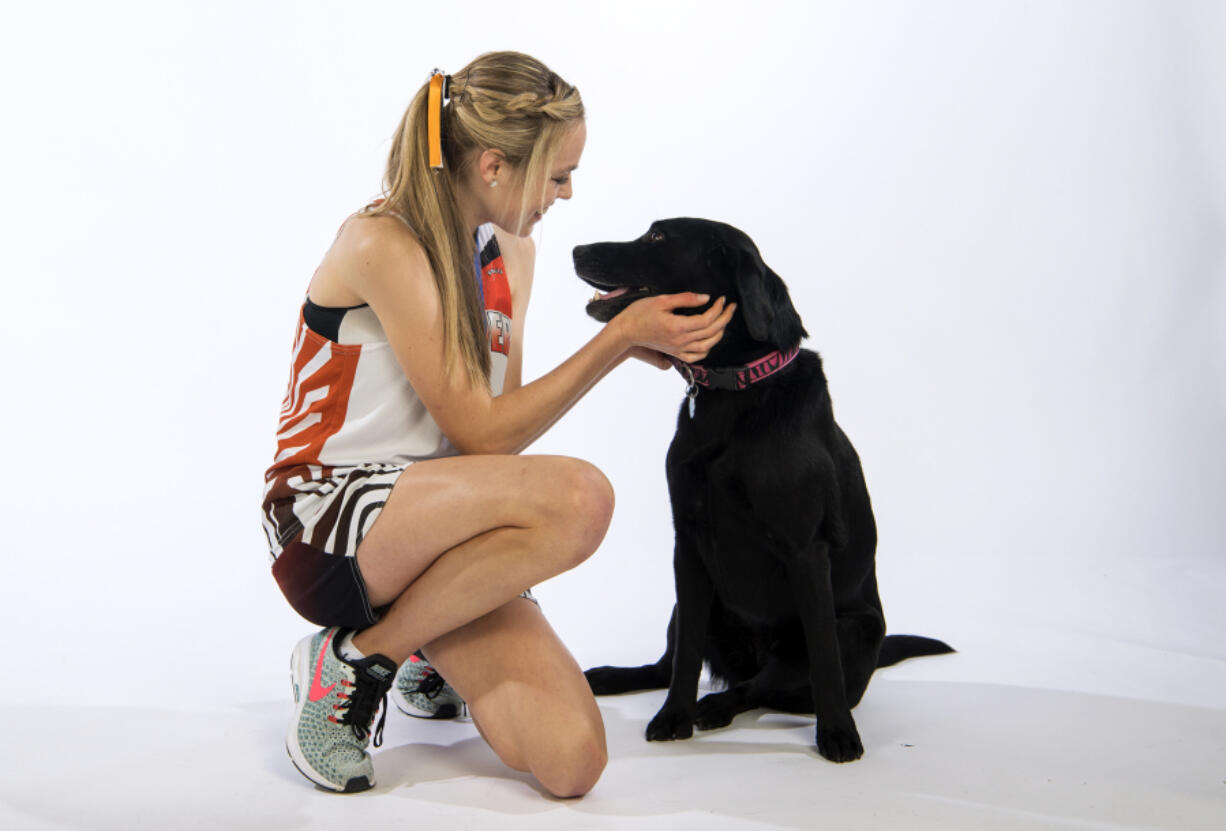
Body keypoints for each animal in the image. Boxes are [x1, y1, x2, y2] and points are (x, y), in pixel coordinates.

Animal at [571, 218, 946, 764]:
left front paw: (838, 733)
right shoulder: (687, 544)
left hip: (853, 630)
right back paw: (614, 679)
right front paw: (673, 716)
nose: (576, 249)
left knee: (765, 685)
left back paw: (718, 706)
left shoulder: (805, 549)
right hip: (684, 606)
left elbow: (823, 661)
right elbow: (686, 659)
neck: (735, 391)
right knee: (674, 664)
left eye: (659, 237)